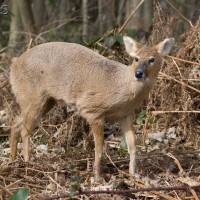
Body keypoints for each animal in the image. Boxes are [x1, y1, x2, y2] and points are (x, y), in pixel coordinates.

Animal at [10, 36, 174, 181]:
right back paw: (27, 162)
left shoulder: (126, 114)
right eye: (136, 58)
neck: (122, 84)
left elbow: (133, 145)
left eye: (152, 59)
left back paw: (13, 160)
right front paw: (97, 177)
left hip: (43, 101)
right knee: (24, 130)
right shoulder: (91, 109)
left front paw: (134, 174)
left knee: (15, 123)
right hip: (33, 97)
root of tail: (14, 64)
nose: (138, 73)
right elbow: (99, 148)